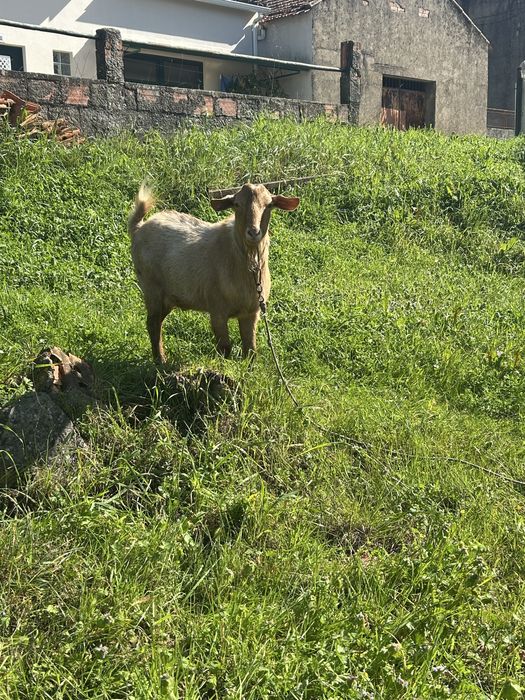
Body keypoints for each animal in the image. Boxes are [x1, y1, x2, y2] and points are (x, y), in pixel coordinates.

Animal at [128, 183, 300, 363]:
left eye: (269, 205)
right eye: (237, 204)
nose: (253, 232)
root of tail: (138, 228)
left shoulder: (251, 312)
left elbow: (250, 349)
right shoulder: (217, 310)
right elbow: (225, 348)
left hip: (168, 297)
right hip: (152, 289)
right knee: (153, 324)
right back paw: (160, 360)